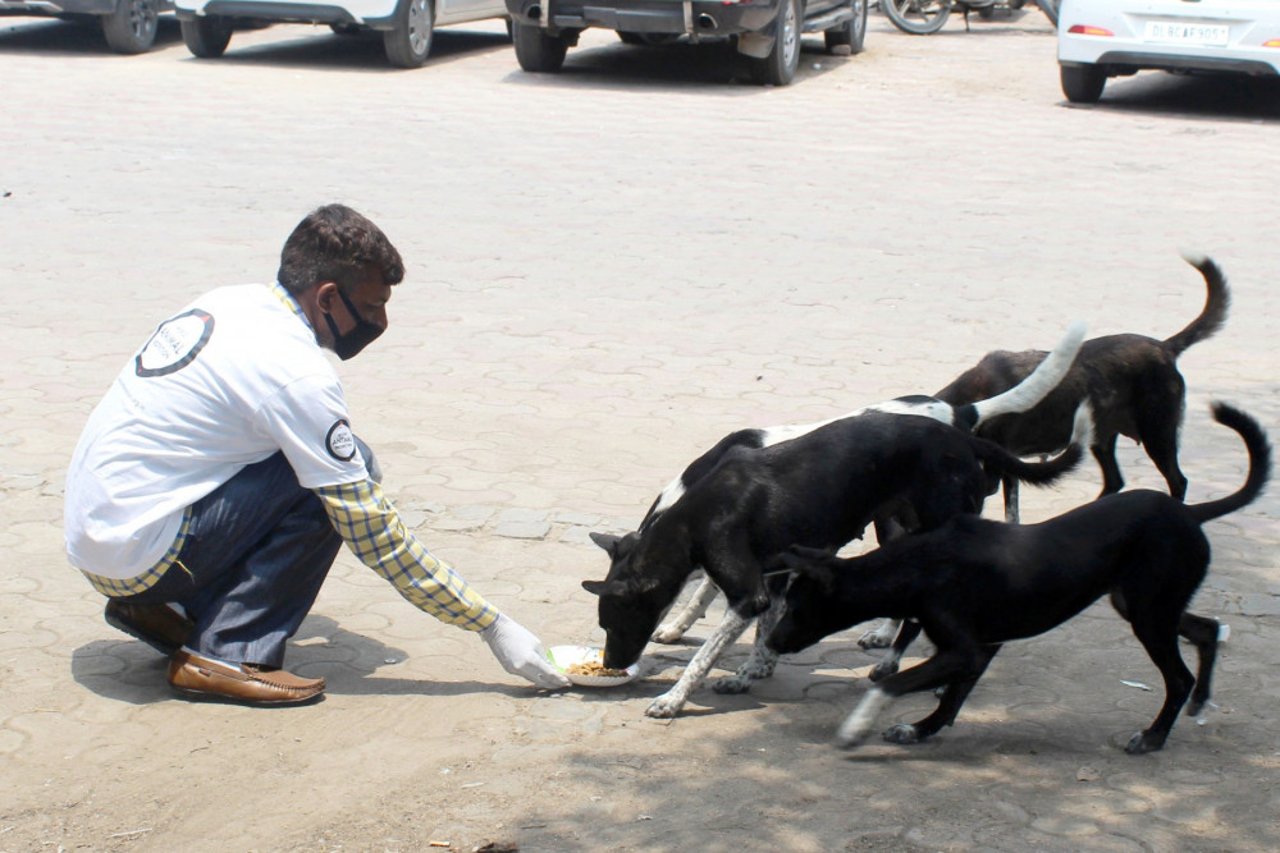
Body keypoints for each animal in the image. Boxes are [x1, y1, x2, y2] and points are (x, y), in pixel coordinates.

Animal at [586, 402, 1085, 712]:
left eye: (612, 623)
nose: (610, 665)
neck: (694, 515)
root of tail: (964, 439)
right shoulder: (773, 576)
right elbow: (765, 631)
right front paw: (753, 670)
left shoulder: (748, 593)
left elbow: (705, 655)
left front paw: (674, 699)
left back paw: (899, 664)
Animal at [762, 399, 1264, 753]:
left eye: (798, 608)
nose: (772, 643)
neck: (921, 564)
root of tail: (1191, 514)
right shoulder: (983, 647)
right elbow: (952, 699)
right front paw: (921, 730)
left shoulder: (966, 648)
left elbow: (894, 683)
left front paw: (857, 726)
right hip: (1143, 603)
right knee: (1208, 629)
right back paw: (1200, 699)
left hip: (1149, 613)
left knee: (1178, 676)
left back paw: (1154, 735)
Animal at [936, 251, 1223, 517]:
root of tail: (1164, 348)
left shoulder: (993, 471)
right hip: (1102, 438)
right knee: (1115, 481)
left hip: (1158, 433)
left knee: (1178, 481)